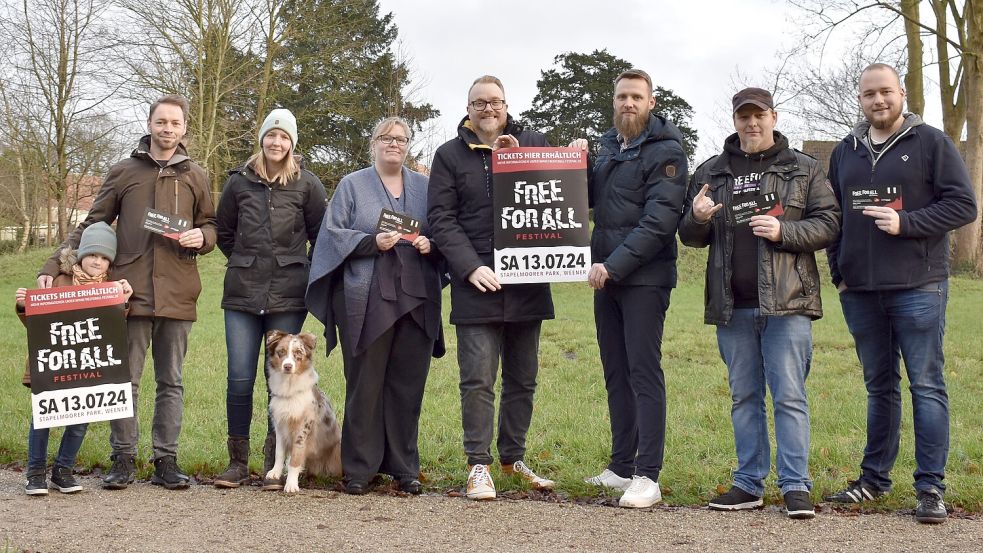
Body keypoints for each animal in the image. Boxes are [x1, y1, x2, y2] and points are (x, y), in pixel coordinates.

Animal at [266, 330, 342, 494]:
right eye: (281, 352)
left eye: (298, 353)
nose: (288, 366)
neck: (289, 388)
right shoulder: (280, 426)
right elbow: (279, 453)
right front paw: (275, 472)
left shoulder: (303, 429)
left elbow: (295, 458)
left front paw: (291, 484)